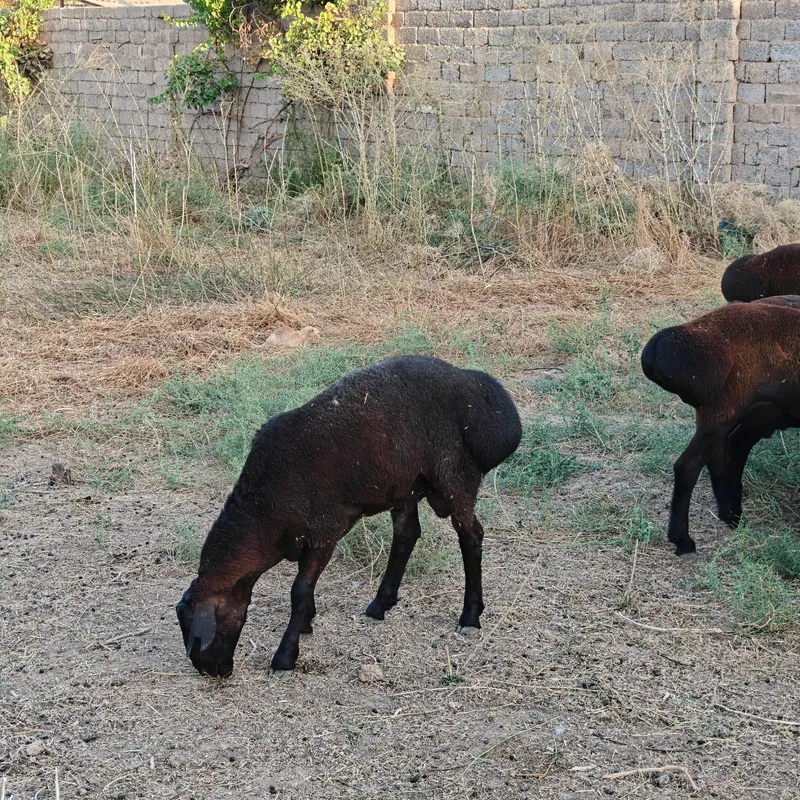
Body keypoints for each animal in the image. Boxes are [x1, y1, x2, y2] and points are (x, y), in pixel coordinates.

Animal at [176, 354, 522, 676]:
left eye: (203, 630)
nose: (212, 671)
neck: (264, 514)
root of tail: (478, 385)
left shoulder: (323, 532)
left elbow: (299, 591)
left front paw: (285, 656)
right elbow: (305, 586)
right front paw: (307, 623)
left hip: (454, 475)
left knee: (471, 535)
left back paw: (470, 616)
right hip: (405, 483)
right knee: (407, 533)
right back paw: (380, 604)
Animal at [641, 296, 800, 555]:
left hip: (736, 416)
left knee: (719, 457)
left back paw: (730, 514)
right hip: (722, 412)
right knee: (689, 466)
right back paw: (682, 538)